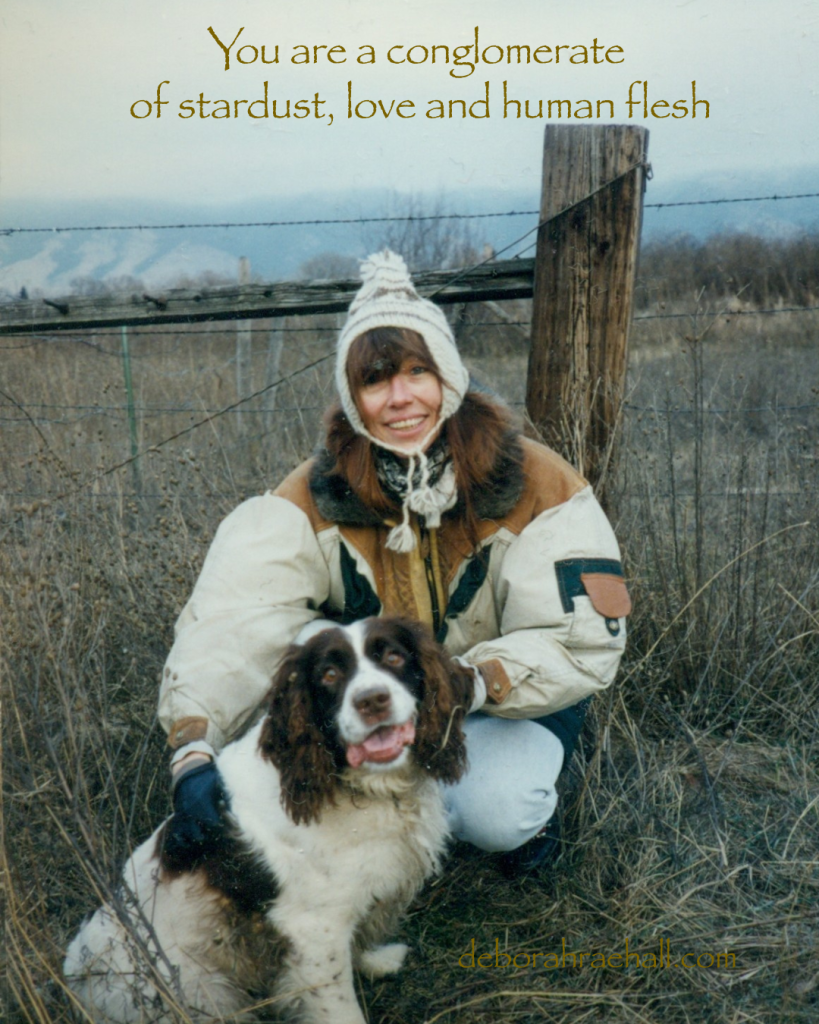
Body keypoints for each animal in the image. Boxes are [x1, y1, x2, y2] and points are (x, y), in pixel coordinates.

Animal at [64, 616, 473, 1023]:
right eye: (329, 675)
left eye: (393, 656)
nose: (372, 701)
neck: (357, 786)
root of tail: (76, 979)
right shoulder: (314, 929)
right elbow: (341, 1004)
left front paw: (376, 960)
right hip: (202, 992)